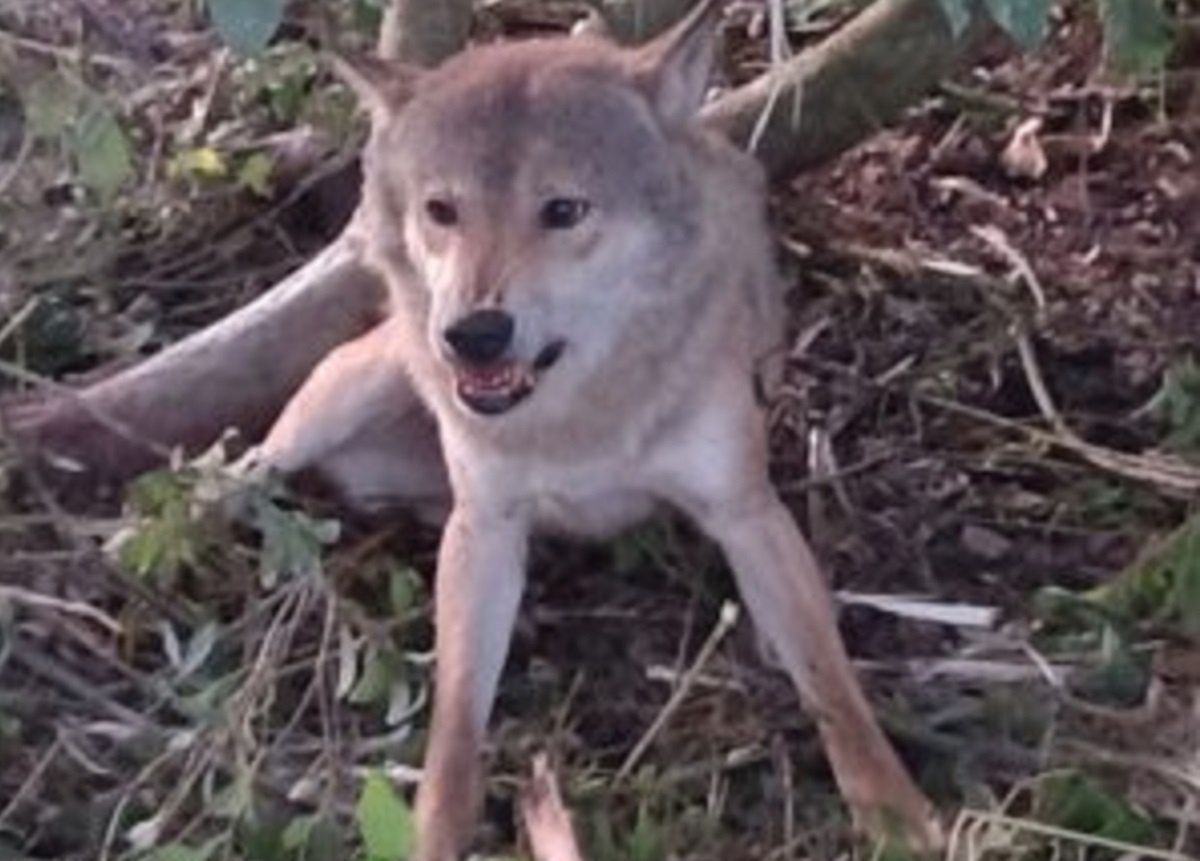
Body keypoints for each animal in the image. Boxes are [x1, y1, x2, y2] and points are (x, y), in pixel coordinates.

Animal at [253, 3, 945, 858]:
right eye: (441, 210)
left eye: (563, 210)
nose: (474, 335)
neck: (580, 411)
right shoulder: (484, 524)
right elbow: (454, 723)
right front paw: (434, 833)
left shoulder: (745, 511)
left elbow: (832, 684)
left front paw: (898, 812)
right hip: (340, 404)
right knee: (247, 466)